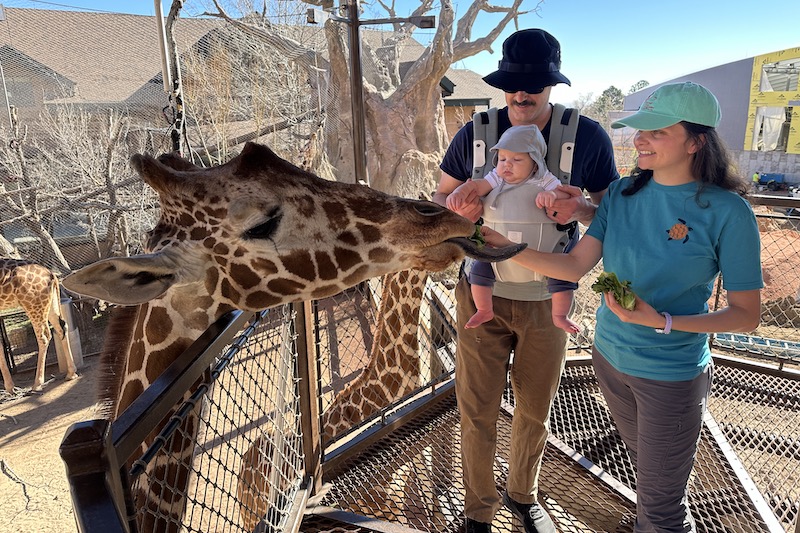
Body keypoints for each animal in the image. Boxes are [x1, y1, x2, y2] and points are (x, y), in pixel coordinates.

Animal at [0, 258, 77, 393]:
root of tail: (51, 274)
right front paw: (10, 387)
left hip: (33, 304)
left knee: (44, 336)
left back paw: (37, 384)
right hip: (50, 302)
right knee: (62, 327)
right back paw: (71, 373)